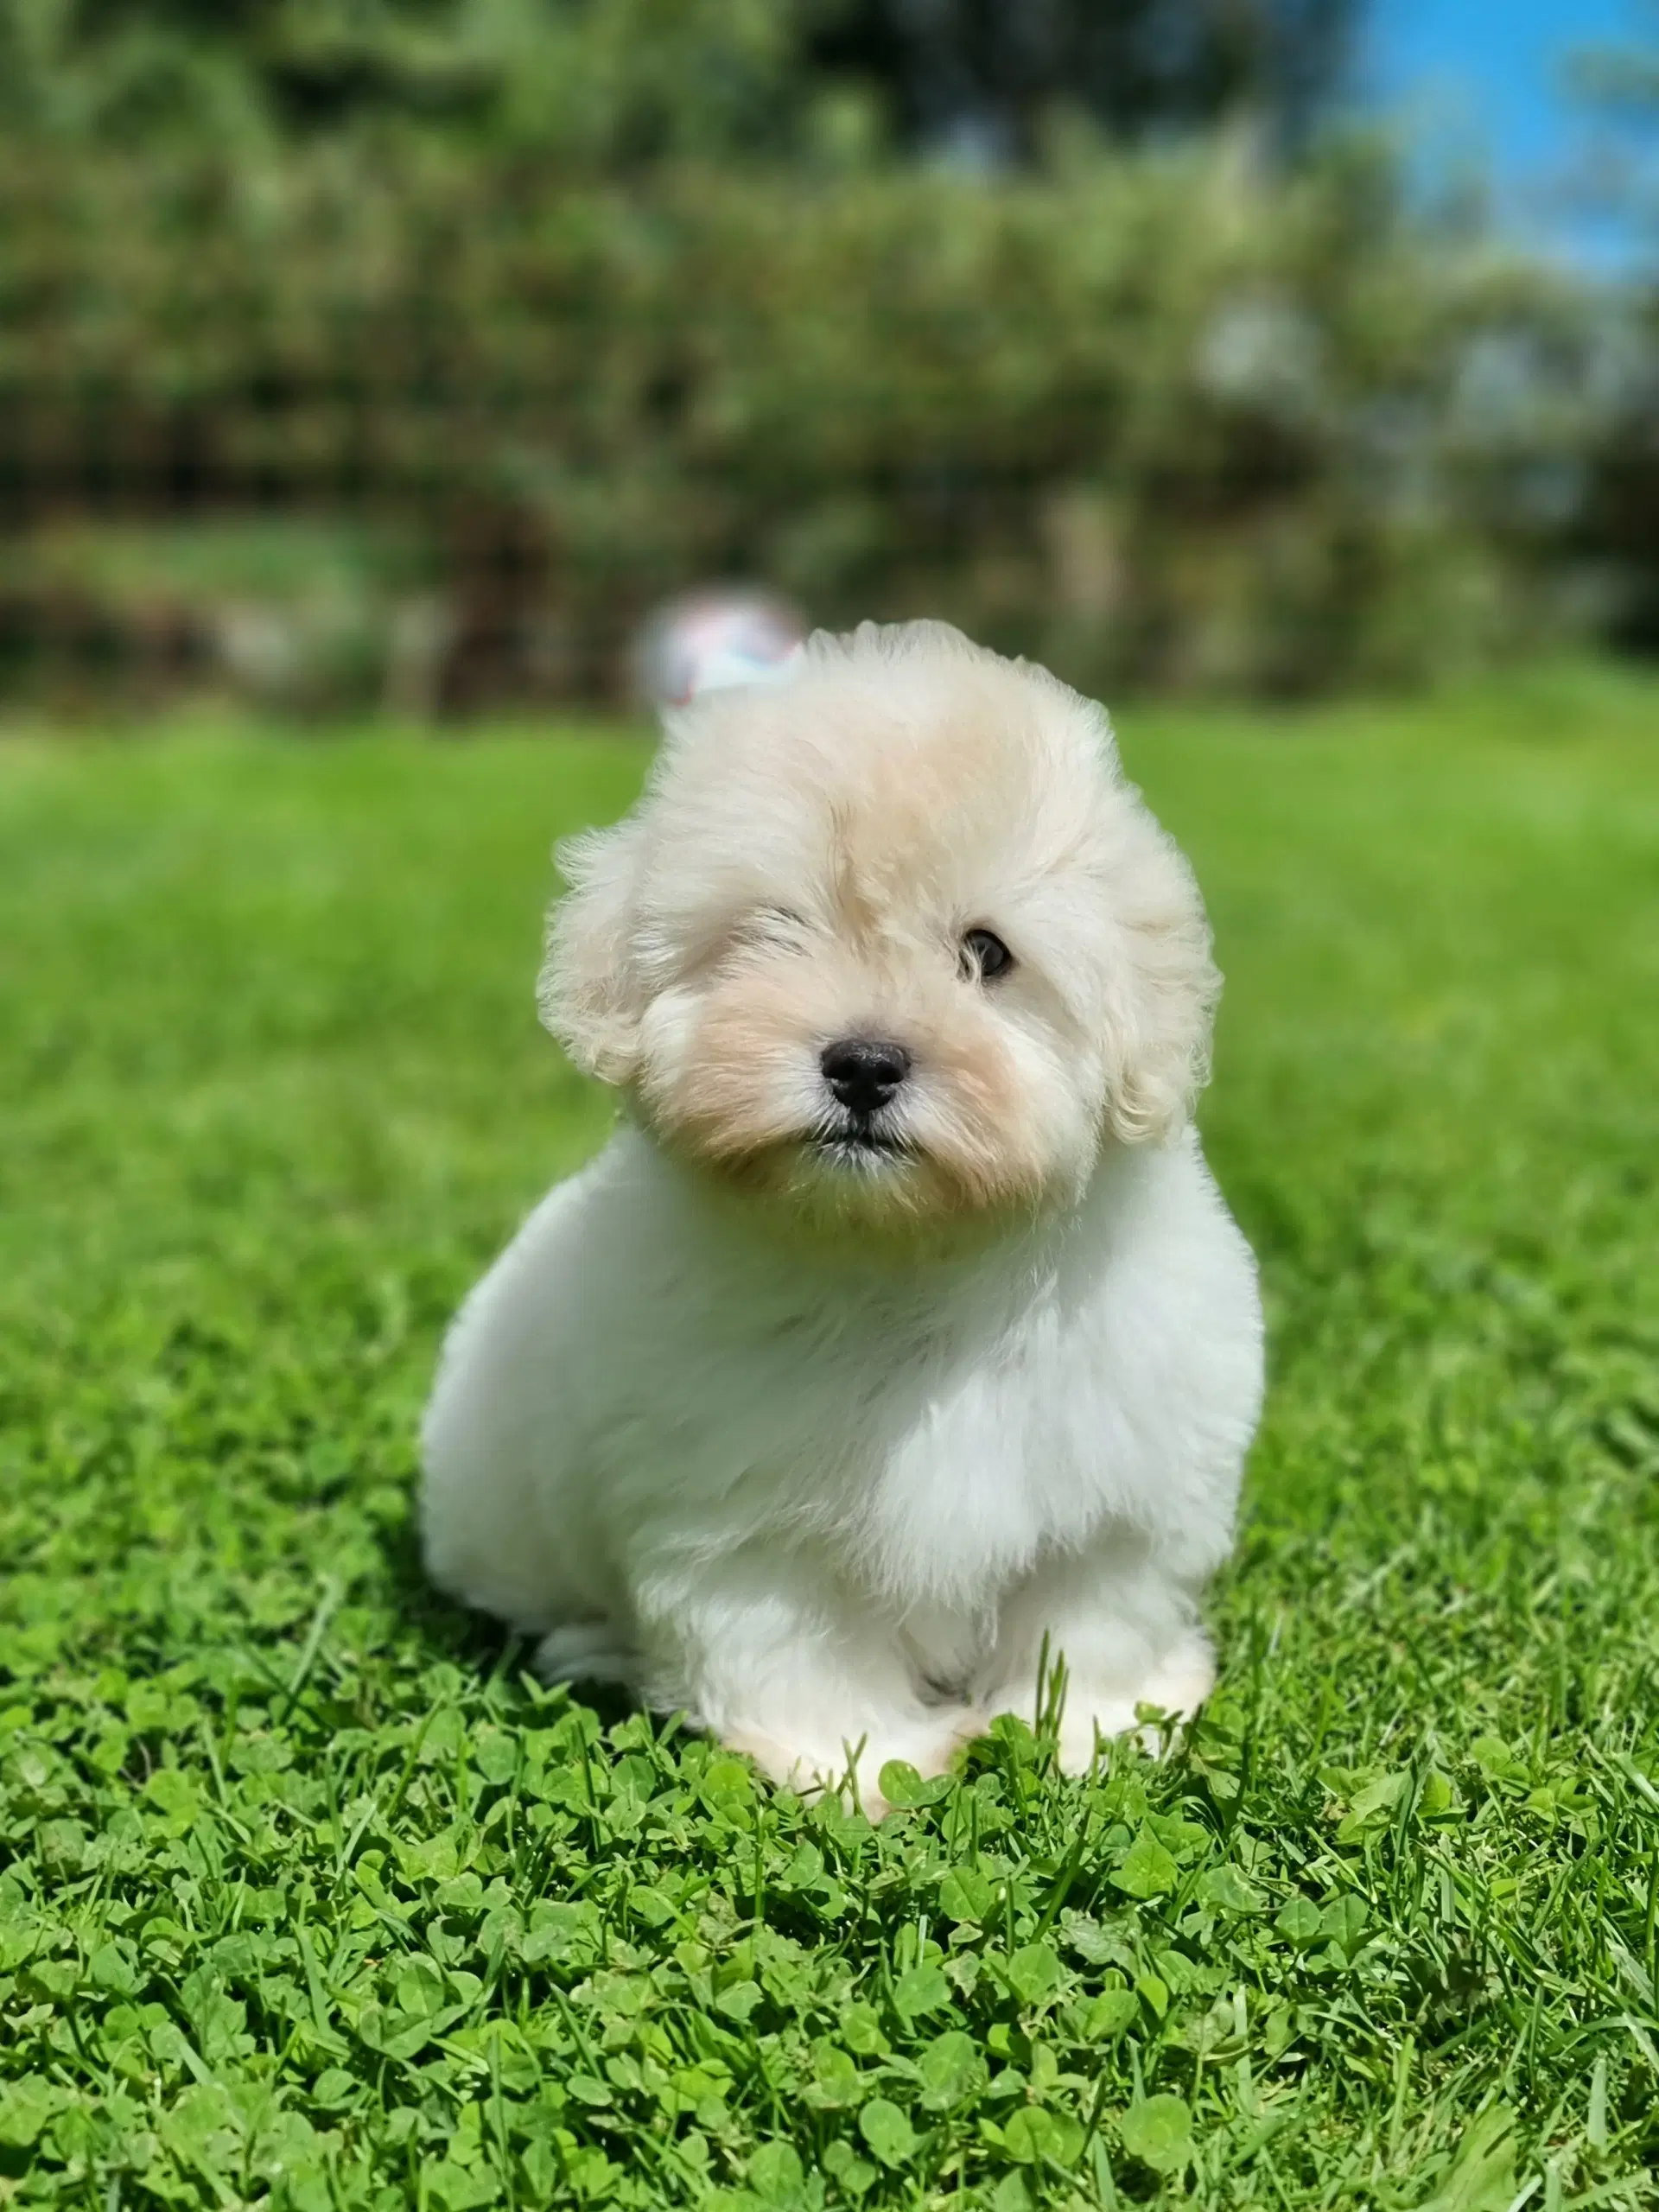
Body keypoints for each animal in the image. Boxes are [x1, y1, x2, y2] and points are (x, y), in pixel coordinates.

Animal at [422, 623, 1265, 1814]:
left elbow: (1091, 1613)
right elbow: (795, 1643)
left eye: (987, 952)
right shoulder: (738, 1517)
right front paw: (859, 1763)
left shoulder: (1122, 1480)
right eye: (773, 931)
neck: (906, 1255)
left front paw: (1088, 1736)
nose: (863, 1062)